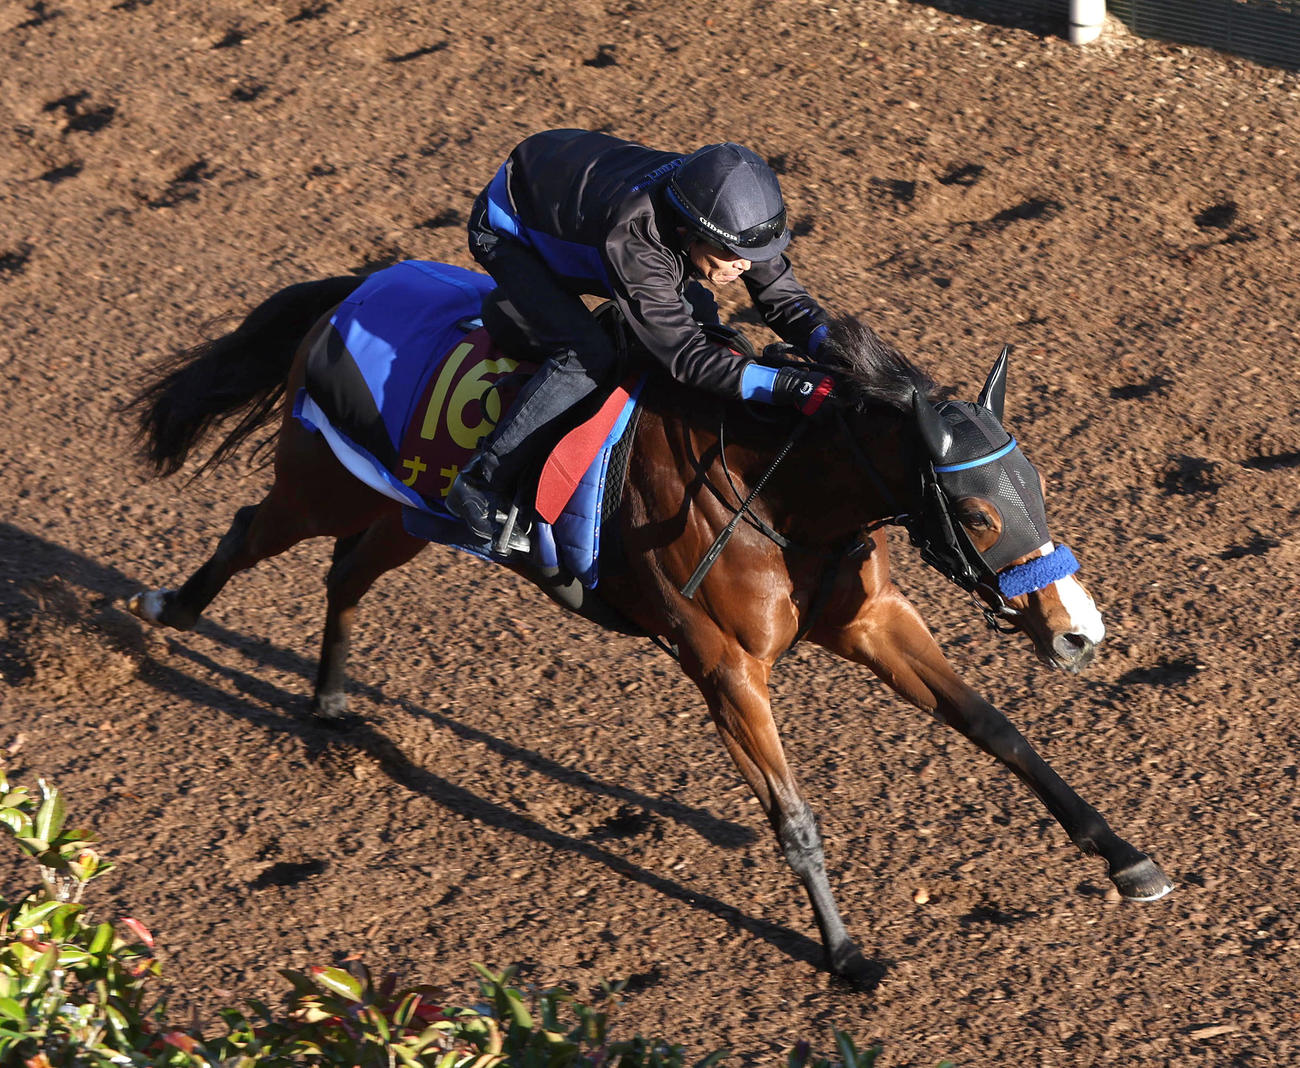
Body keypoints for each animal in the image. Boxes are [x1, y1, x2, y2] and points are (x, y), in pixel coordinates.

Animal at [124, 264, 1173, 983]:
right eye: (980, 515)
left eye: (1038, 487)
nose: (1079, 632)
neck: (778, 492)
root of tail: (355, 288)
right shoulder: (725, 669)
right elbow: (794, 816)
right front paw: (844, 952)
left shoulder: (873, 619)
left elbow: (996, 729)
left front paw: (1128, 859)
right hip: (325, 481)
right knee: (252, 529)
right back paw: (167, 610)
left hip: (404, 511)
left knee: (346, 573)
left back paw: (334, 698)